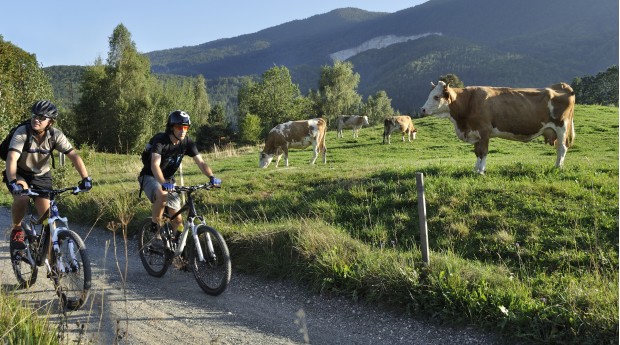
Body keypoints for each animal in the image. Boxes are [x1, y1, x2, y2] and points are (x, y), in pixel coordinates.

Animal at [422, 79, 576, 173]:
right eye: (429, 95)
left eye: (436, 97)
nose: (422, 109)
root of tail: (562, 86)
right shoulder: (476, 133)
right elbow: (477, 152)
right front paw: (475, 169)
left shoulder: (484, 131)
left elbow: (483, 151)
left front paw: (481, 171)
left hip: (561, 126)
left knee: (562, 148)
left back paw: (558, 167)